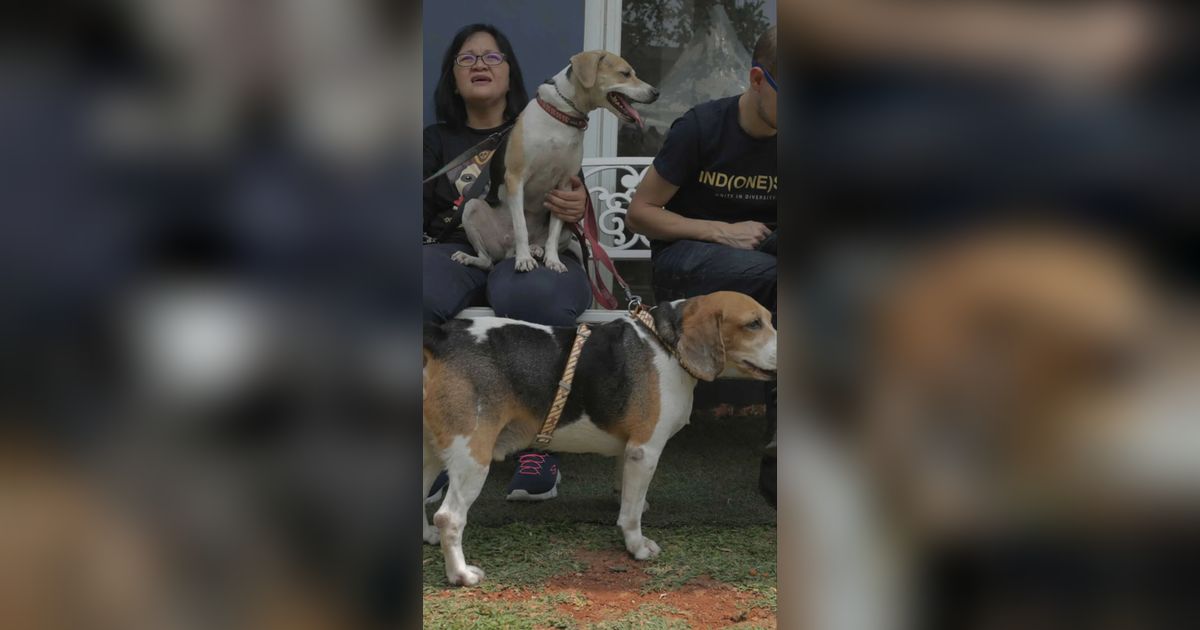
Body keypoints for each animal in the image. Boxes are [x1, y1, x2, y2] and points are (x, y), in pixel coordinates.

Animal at [422, 292, 777, 588]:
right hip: (472, 456)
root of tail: (442, 336)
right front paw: (637, 546)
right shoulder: (645, 450)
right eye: (753, 324)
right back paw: (460, 574)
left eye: (769, 319)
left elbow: (628, 494)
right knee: (449, 517)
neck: (665, 343)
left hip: (432, 454)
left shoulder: (630, 450)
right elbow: (630, 514)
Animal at [451, 49, 662, 272]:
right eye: (625, 74)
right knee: (487, 259)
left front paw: (553, 260)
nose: (656, 93)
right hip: (472, 208)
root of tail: (507, 251)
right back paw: (482, 256)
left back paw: (536, 249)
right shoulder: (516, 178)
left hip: (568, 230)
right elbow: (521, 227)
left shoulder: (564, 188)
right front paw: (524, 259)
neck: (562, 116)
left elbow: (553, 233)